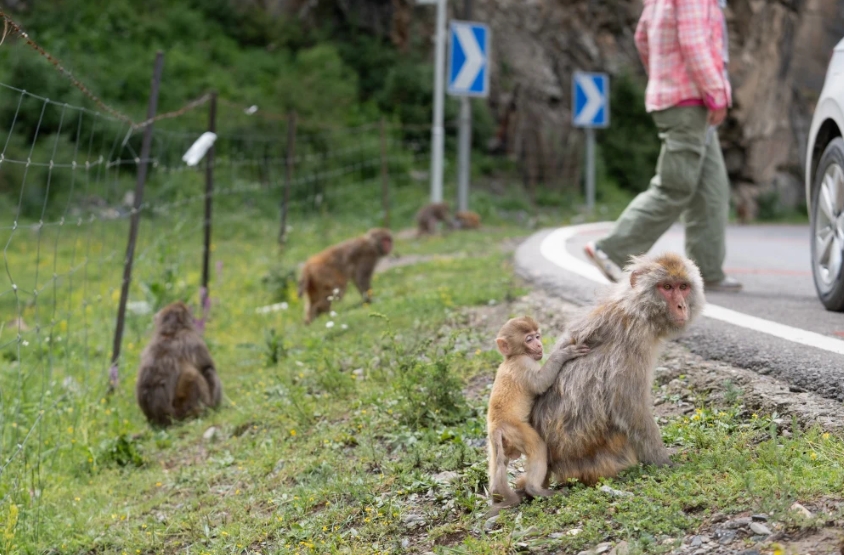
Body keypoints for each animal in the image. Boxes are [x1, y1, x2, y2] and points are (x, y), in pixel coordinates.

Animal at [484, 318, 592, 516]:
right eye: (529, 339)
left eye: (537, 336)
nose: (539, 344)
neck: (512, 357)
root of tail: (497, 426)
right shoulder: (525, 363)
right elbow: (540, 383)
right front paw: (563, 354)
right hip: (516, 430)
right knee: (539, 447)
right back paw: (535, 489)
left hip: (498, 443)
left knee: (497, 462)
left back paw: (497, 493)